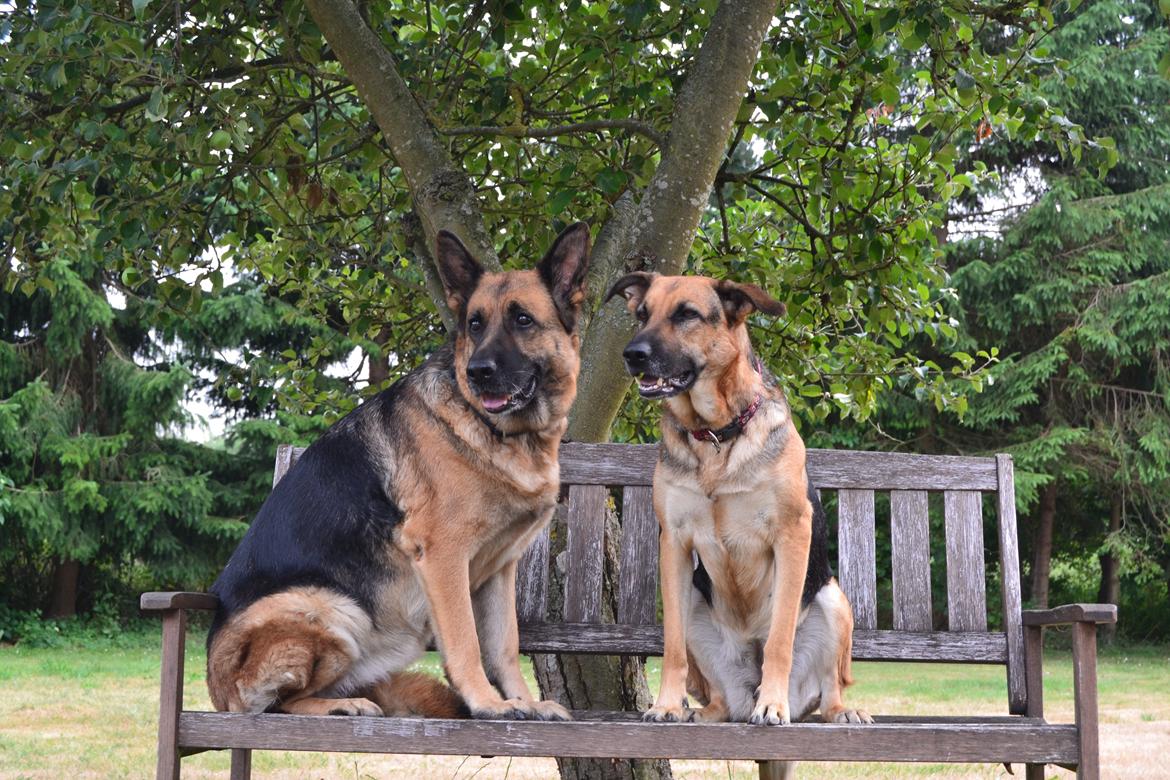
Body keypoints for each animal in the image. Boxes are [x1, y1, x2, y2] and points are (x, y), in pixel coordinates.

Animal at [204, 222, 589, 725]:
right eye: (475, 324)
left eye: (522, 320)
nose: (478, 372)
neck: (500, 433)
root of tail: (218, 693)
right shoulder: (444, 557)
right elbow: (466, 642)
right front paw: (486, 703)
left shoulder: (500, 570)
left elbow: (504, 645)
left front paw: (523, 702)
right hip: (333, 609)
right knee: (277, 705)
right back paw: (341, 705)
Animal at [603, 271, 870, 729]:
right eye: (641, 314)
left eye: (687, 315)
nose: (632, 355)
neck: (716, 435)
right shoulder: (674, 544)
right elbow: (671, 647)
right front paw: (667, 704)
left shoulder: (791, 535)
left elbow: (780, 639)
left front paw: (773, 706)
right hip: (696, 603)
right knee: (718, 697)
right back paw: (701, 712)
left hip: (832, 599)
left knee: (831, 687)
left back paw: (836, 710)